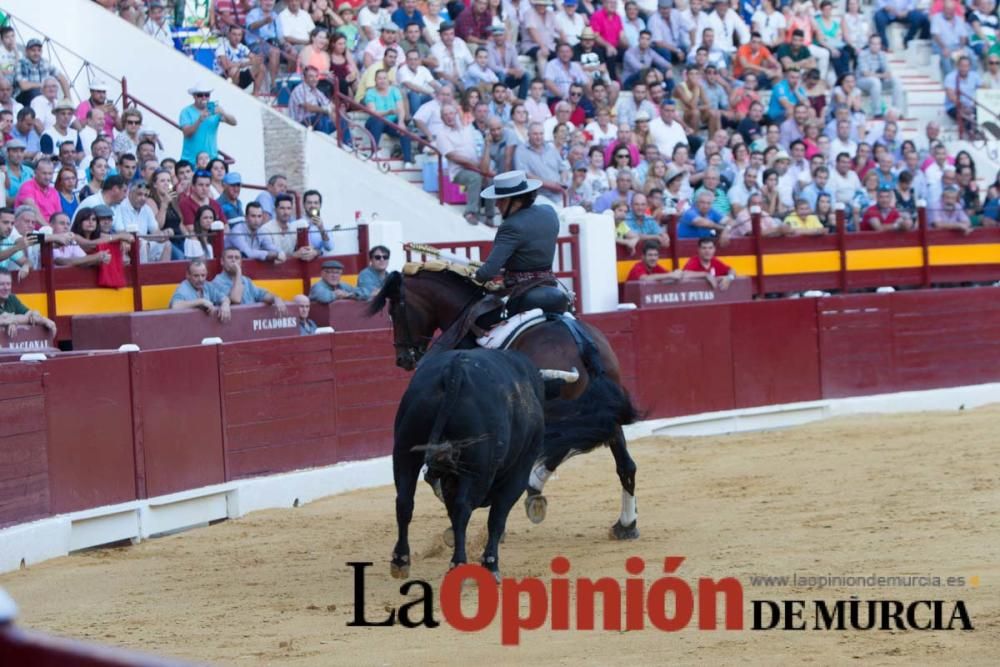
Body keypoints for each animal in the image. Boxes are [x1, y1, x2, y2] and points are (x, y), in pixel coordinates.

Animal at [372, 266, 644, 544]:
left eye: (395, 311)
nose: (403, 358)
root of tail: (581, 345)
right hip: (605, 409)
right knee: (623, 464)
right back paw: (624, 524)